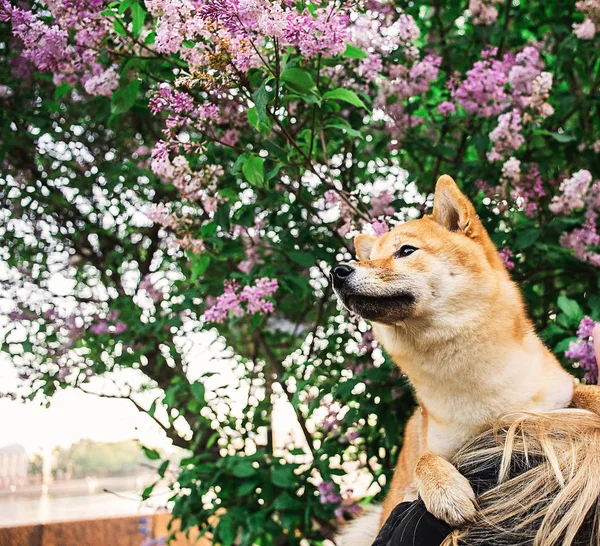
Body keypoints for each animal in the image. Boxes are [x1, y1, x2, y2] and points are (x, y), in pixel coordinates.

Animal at [330, 176, 596, 540]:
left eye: (406, 251)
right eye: (375, 256)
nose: (337, 270)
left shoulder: (560, 393)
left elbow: (588, 394)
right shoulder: (437, 445)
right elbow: (424, 461)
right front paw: (445, 490)